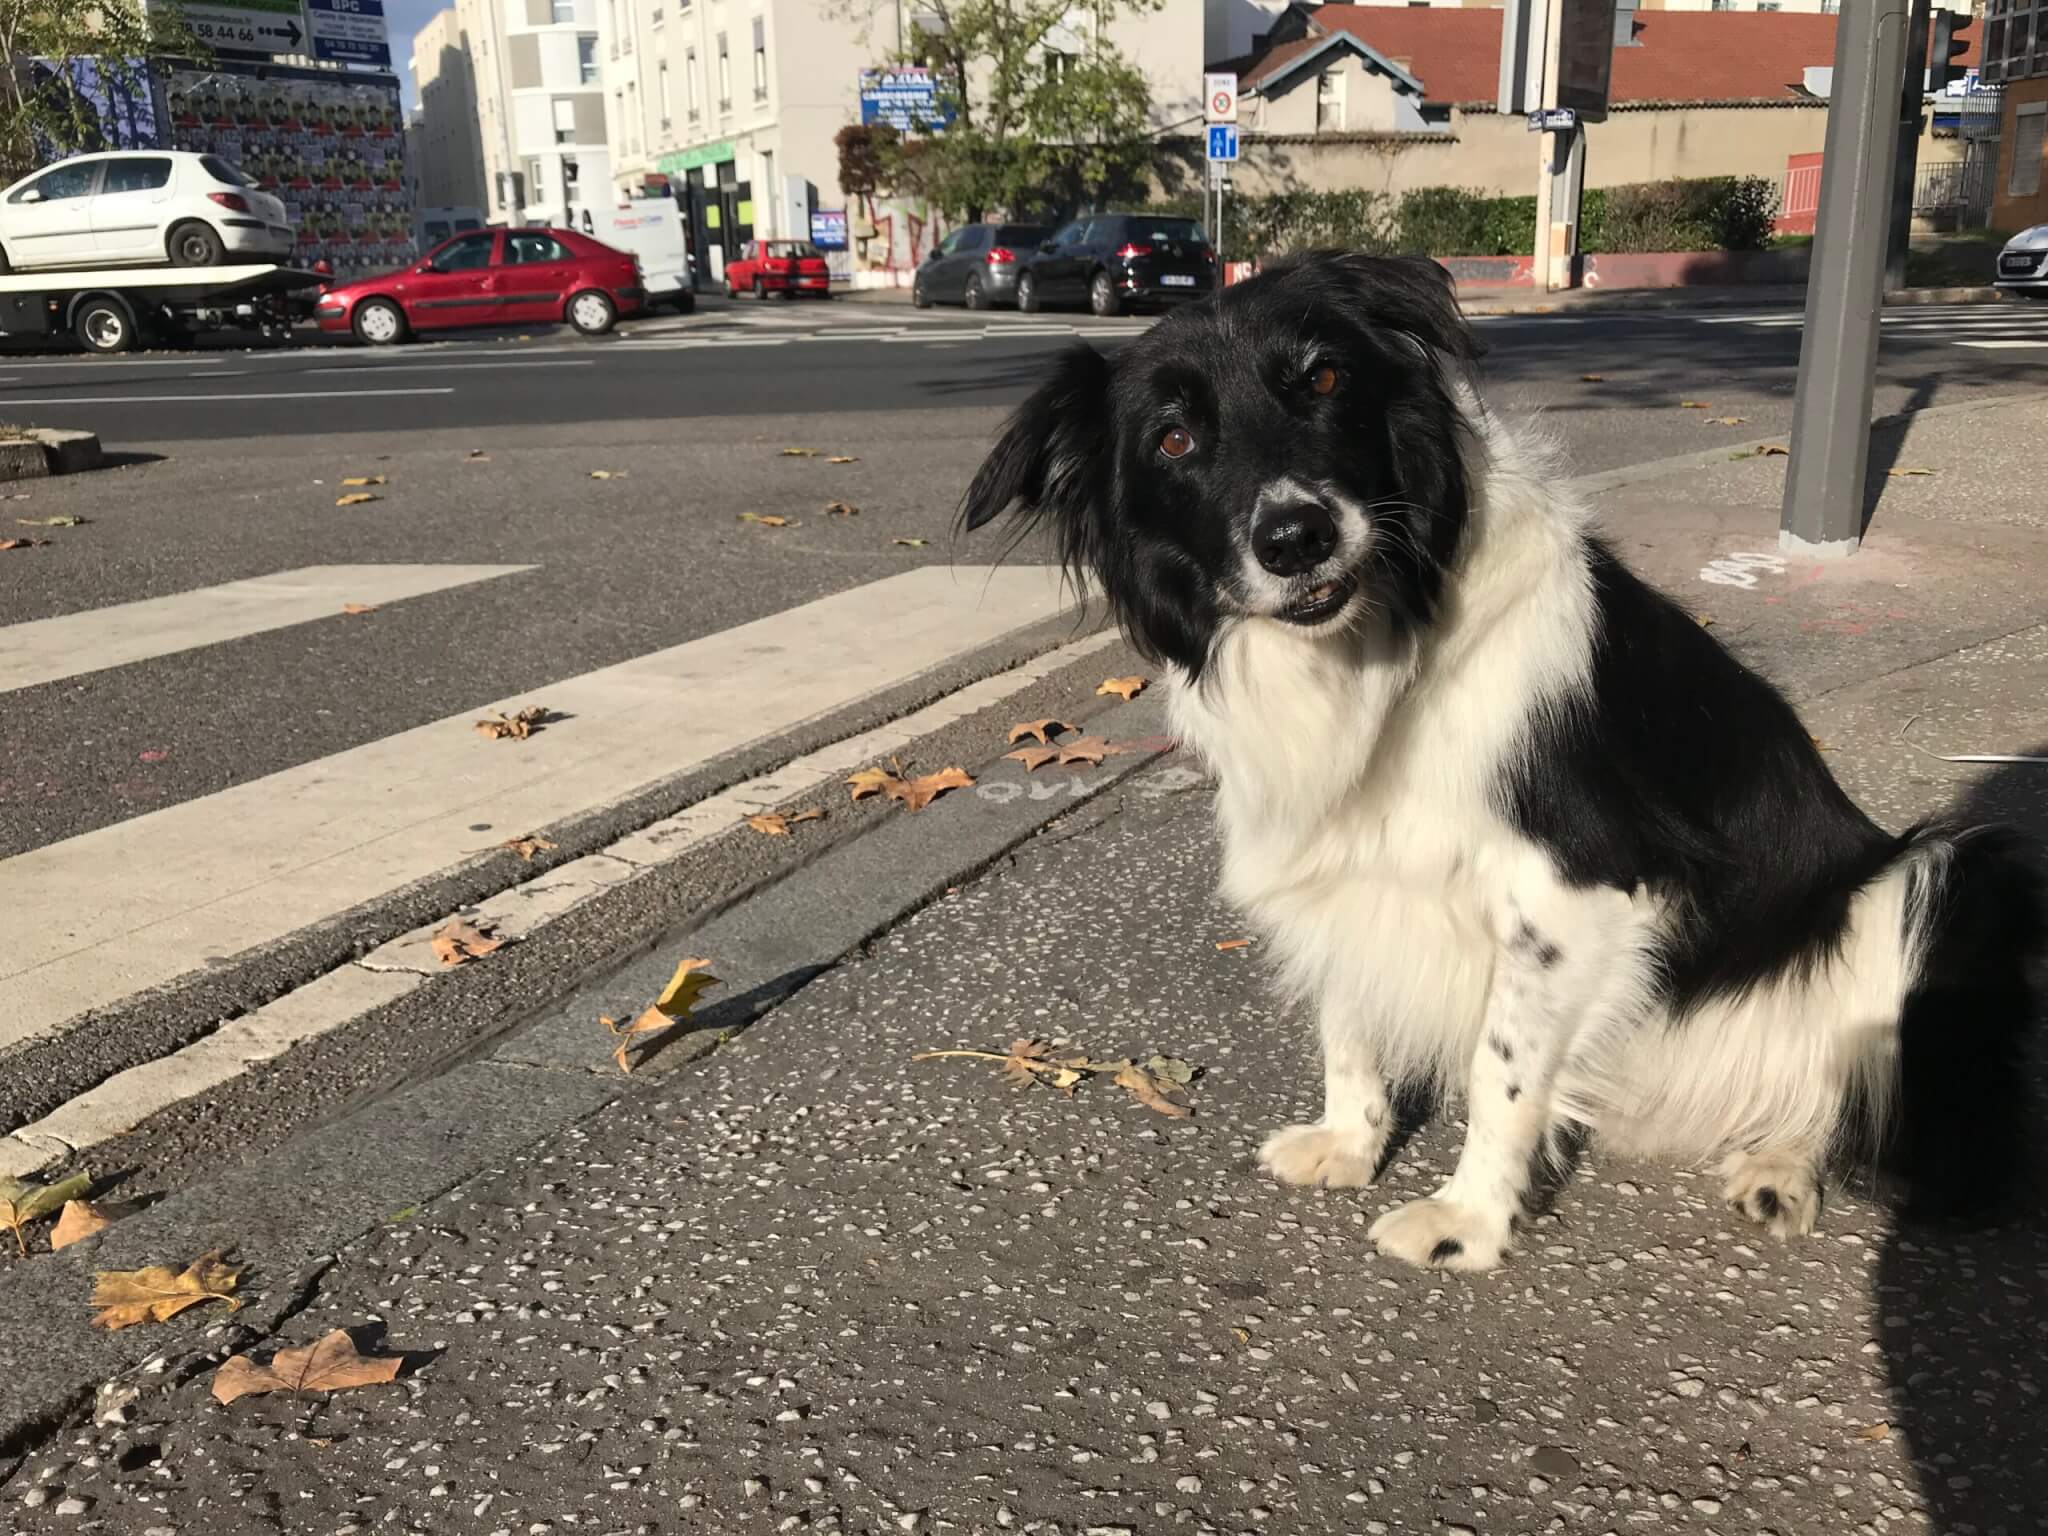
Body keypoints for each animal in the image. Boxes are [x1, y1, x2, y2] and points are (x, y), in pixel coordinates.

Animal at [962, 256, 2048, 1277]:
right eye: (1174, 440)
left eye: (1323, 379)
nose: (1297, 538)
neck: (1376, 650)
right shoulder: (1343, 864)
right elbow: (1348, 1016)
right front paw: (1352, 1146)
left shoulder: (1574, 891)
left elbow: (1502, 1067)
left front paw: (1468, 1222)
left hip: (1938, 879)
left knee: (1861, 1088)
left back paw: (1784, 1163)